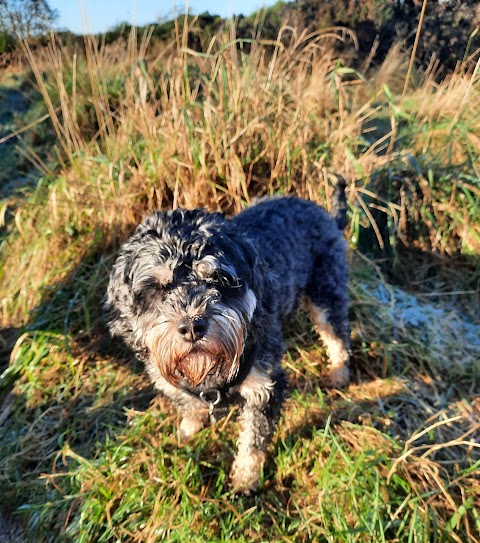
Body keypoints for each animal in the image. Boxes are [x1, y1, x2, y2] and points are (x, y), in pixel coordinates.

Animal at [105, 186, 348, 492]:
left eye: (218, 280)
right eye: (158, 289)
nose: (192, 326)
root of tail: (324, 214)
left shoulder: (264, 387)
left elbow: (253, 441)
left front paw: (246, 479)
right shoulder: (168, 380)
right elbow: (187, 403)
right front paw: (189, 428)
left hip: (325, 291)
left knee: (336, 334)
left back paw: (339, 373)